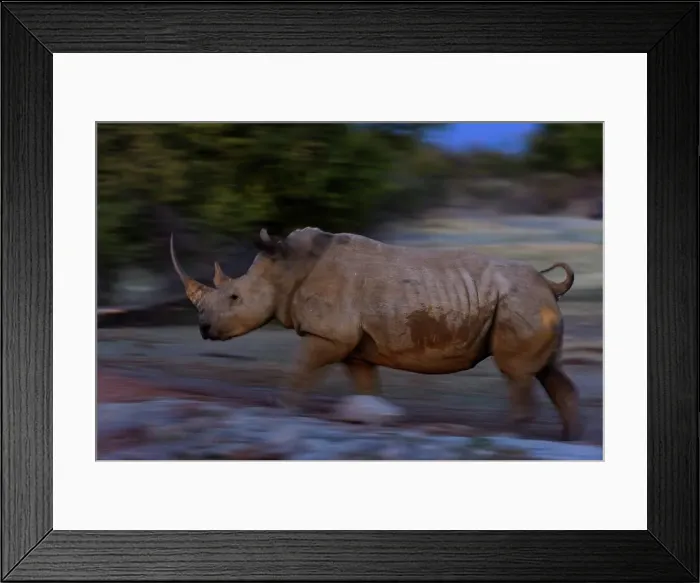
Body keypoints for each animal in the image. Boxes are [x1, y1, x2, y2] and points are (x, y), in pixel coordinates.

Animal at [170, 226, 582, 441]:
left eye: (235, 297)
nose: (204, 330)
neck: (287, 267)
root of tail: (548, 284)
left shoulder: (329, 335)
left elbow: (300, 369)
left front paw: (281, 409)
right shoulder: (353, 347)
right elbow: (366, 387)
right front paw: (373, 418)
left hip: (520, 301)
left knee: (517, 374)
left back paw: (508, 435)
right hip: (531, 302)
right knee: (549, 372)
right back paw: (569, 439)